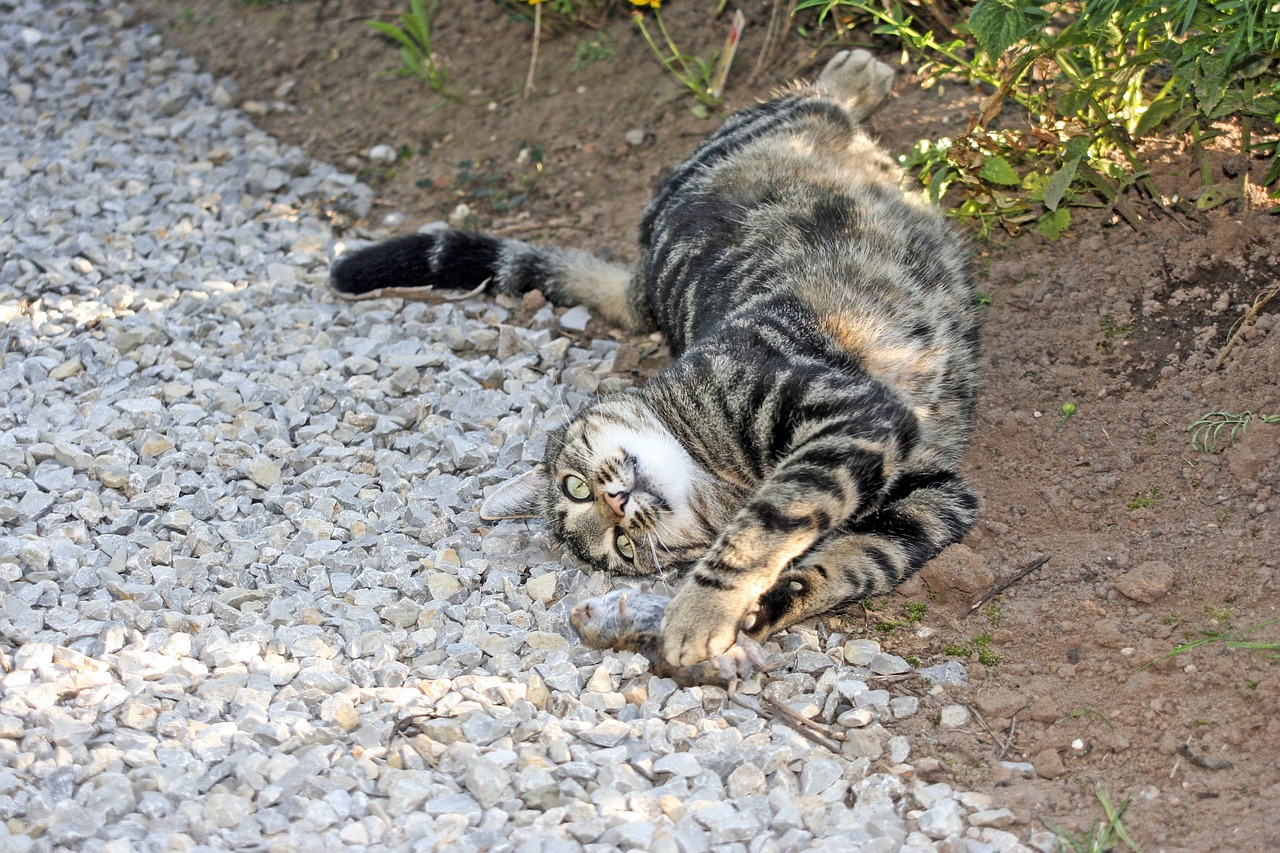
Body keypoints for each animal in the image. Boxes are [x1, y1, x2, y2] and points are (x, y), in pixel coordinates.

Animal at [330, 49, 977, 666]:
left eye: (573, 487)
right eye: (620, 546)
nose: (618, 505)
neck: (716, 474)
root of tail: (642, 279)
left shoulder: (848, 415)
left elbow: (764, 525)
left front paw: (697, 611)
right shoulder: (931, 499)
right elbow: (853, 564)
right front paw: (759, 609)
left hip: (760, 131)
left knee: (816, 99)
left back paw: (855, 72)